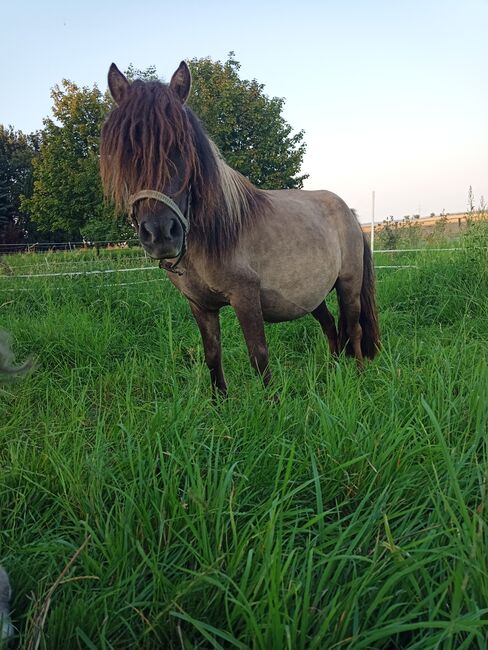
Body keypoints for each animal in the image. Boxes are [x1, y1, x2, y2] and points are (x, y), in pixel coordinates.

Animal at [100, 62, 382, 394]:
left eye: (182, 147)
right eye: (125, 152)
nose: (160, 235)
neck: (215, 235)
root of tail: (348, 211)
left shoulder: (246, 298)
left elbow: (259, 357)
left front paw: (273, 404)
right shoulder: (201, 306)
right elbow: (212, 356)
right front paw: (219, 402)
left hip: (348, 284)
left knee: (354, 328)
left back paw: (359, 380)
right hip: (313, 295)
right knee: (330, 327)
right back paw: (335, 374)